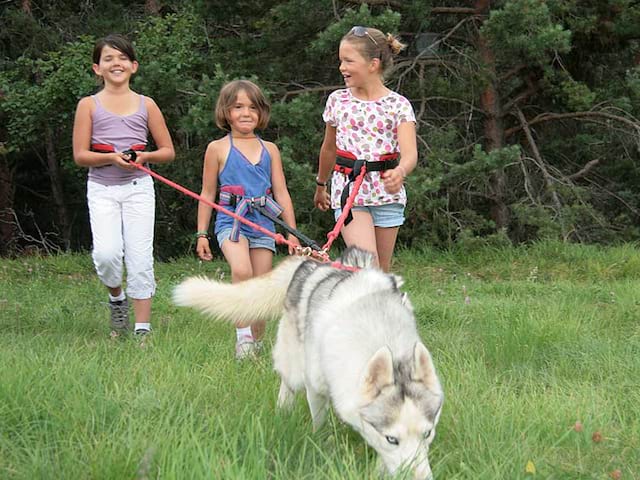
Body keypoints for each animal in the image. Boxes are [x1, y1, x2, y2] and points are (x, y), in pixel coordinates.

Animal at [174, 249, 444, 478]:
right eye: (392, 439)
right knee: (287, 382)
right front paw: (322, 443)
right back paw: (283, 410)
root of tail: (311, 262)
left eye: (427, 433)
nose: (422, 479)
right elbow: (319, 422)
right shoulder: (316, 386)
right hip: (294, 362)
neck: (379, 329)